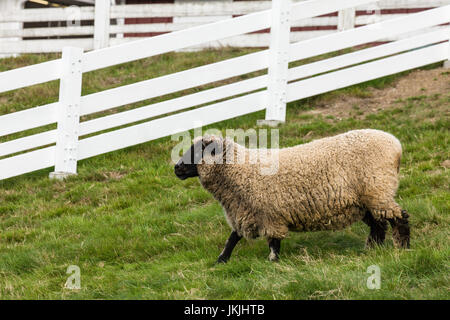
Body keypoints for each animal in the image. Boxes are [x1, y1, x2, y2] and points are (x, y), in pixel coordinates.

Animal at [174, 128, 410, 262]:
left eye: (197, 152)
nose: (176, 168)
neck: (239, 169)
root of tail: (396, 145)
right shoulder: (245, 211)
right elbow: (232, 238)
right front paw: (221, 260)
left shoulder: (268, 214)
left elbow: (273, 242)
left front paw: (272, 263)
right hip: (366, 198)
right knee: (379, 224)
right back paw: (372, 248)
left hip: (377, 189)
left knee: (399, 217)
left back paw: (404, 248)